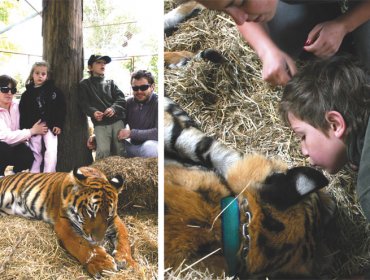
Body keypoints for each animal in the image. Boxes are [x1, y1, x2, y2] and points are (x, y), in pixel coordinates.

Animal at [0, 166, 136, 278]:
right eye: (90, 212)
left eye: (108, 216)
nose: (98, 239)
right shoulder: (64, 223)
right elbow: (83, 245)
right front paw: (103, 265)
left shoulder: (116, 219)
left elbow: (124, 237)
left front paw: (128, 262)